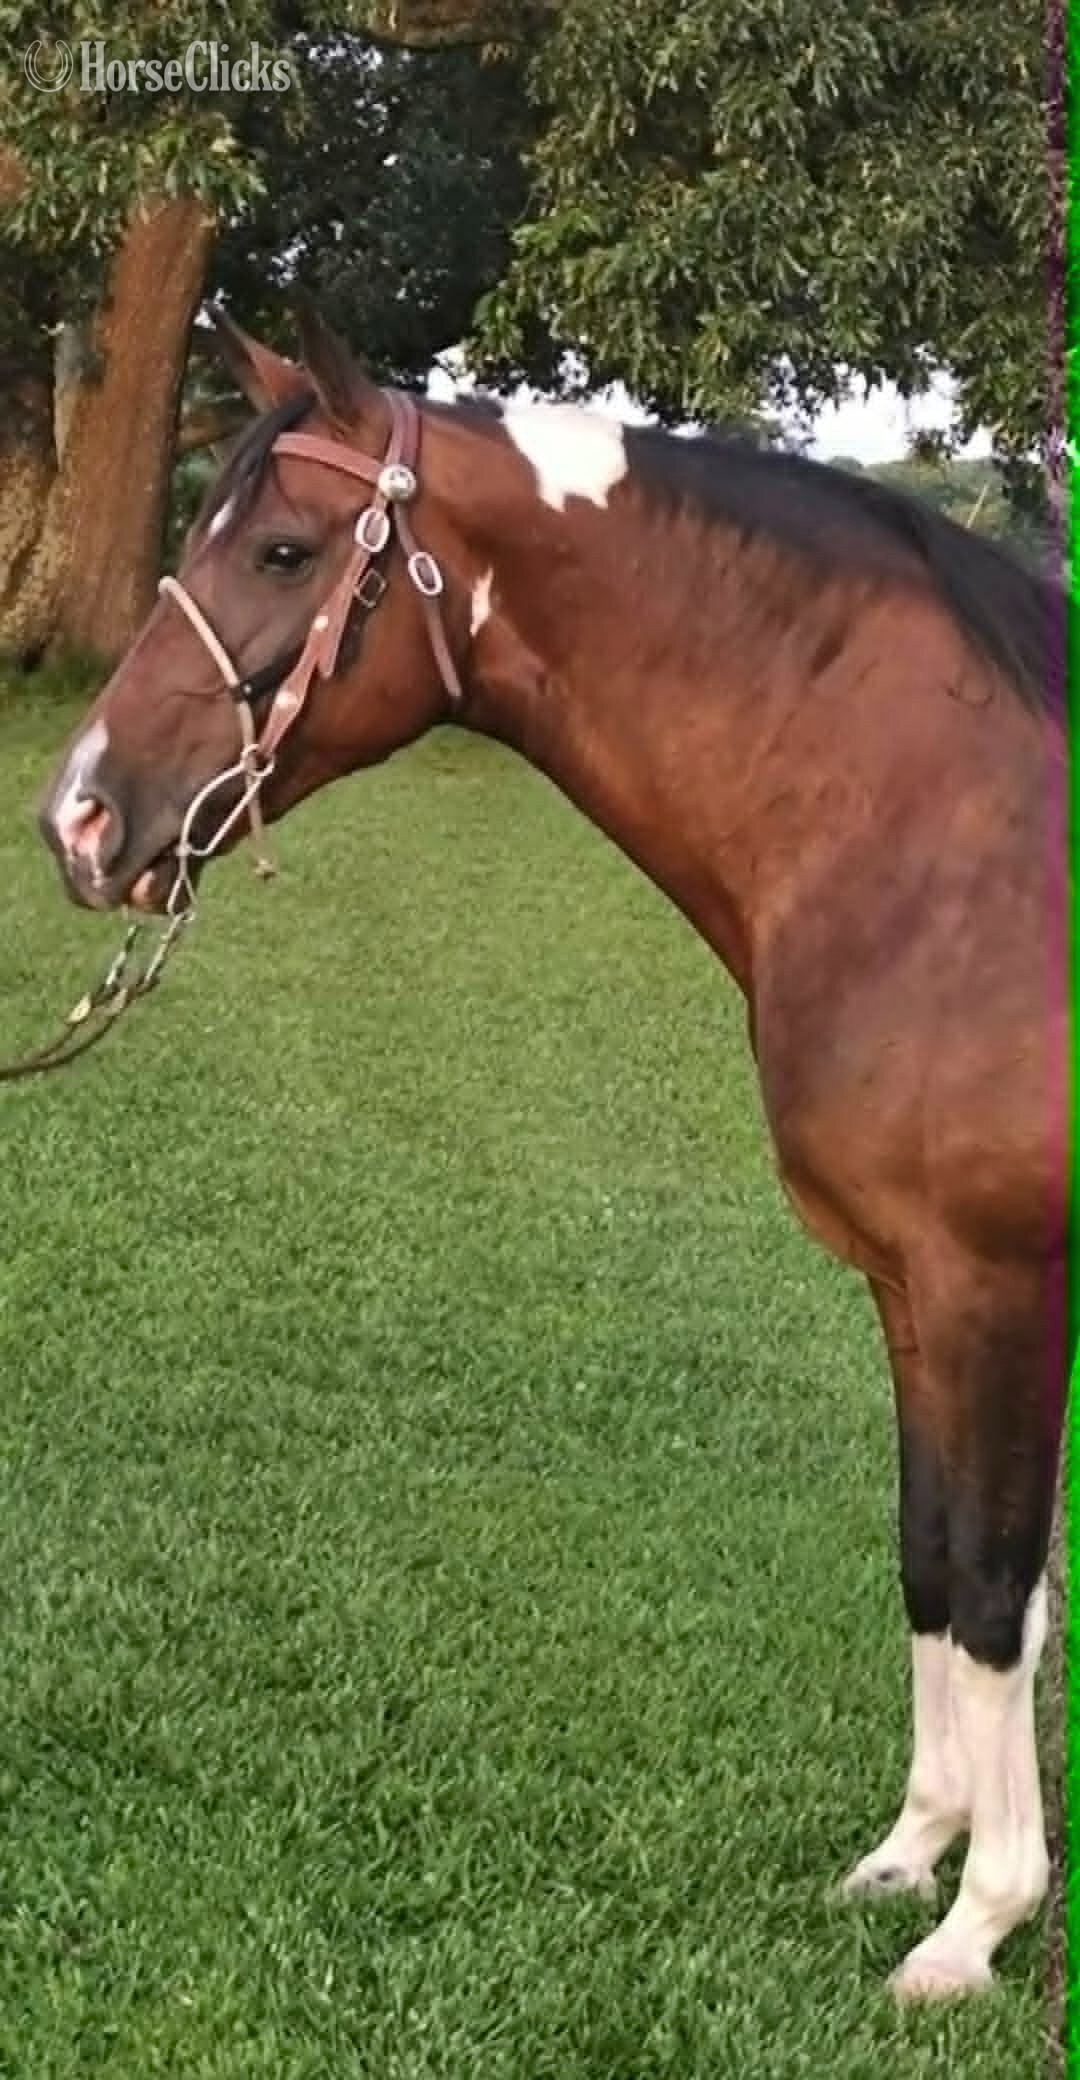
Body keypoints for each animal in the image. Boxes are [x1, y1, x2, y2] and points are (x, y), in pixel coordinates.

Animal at [37, 304, 1068, 2003]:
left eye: (283, 549)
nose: (79, 818)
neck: (951, 845)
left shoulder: (1001, 1289)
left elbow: (995, 1591)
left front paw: (978, 1924)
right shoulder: (907, 1288)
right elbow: (934, 1560)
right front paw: (910, 1855)